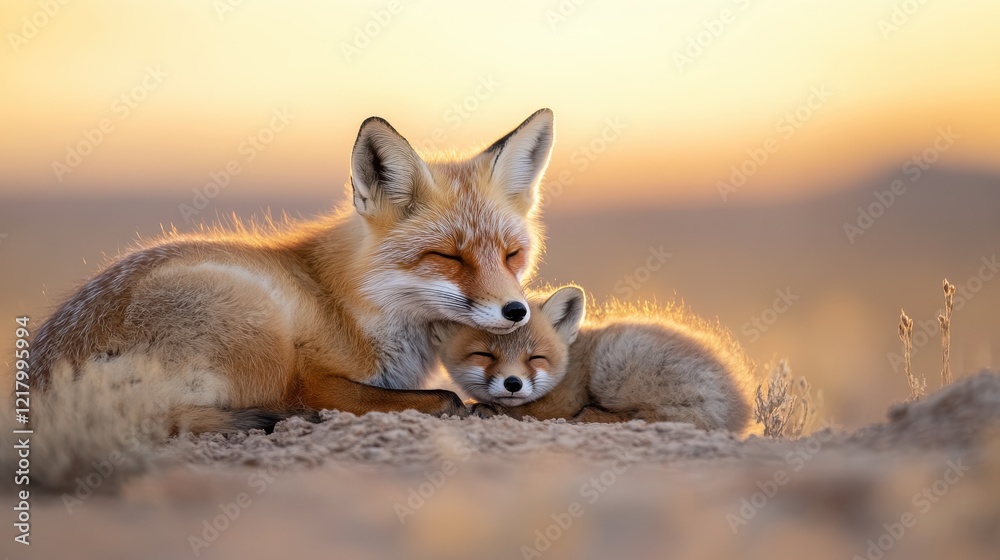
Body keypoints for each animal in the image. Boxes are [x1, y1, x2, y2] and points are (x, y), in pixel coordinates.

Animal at [7, 109, 555, 487]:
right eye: (448, 256)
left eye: (511, 254)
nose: (516, 311)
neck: (354, 303)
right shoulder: (318, 379)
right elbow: (441, 397)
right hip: (259, 325)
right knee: (276, 406)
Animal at [432, 286, 755, 433]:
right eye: (484, 354)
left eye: (536, 358)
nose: (513, 383)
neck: (568, 364)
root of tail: (738, 407)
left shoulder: (562, 401)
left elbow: (524, 412)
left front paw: (488, 409)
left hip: (614, 361)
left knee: (649, 418)